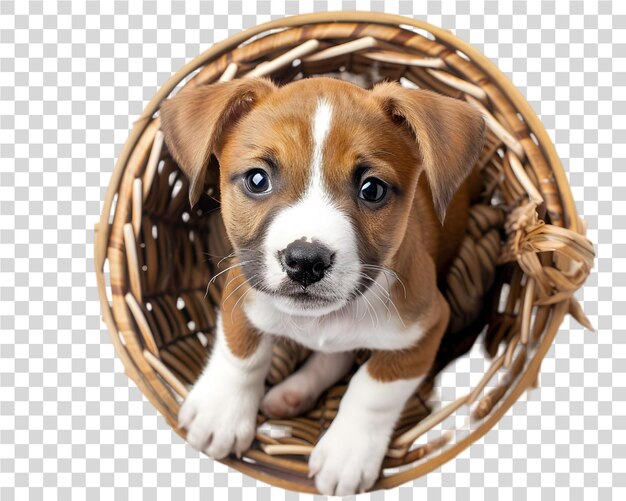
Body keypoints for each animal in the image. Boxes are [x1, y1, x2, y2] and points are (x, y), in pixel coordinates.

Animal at [160, 76, 482, 494]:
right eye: (257, 180)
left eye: (372, 189)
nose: (305, 261)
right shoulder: (240, 287)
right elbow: (242, 353)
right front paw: (221, 413)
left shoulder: (426, 327)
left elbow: (373, 389)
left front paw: (348, 451)